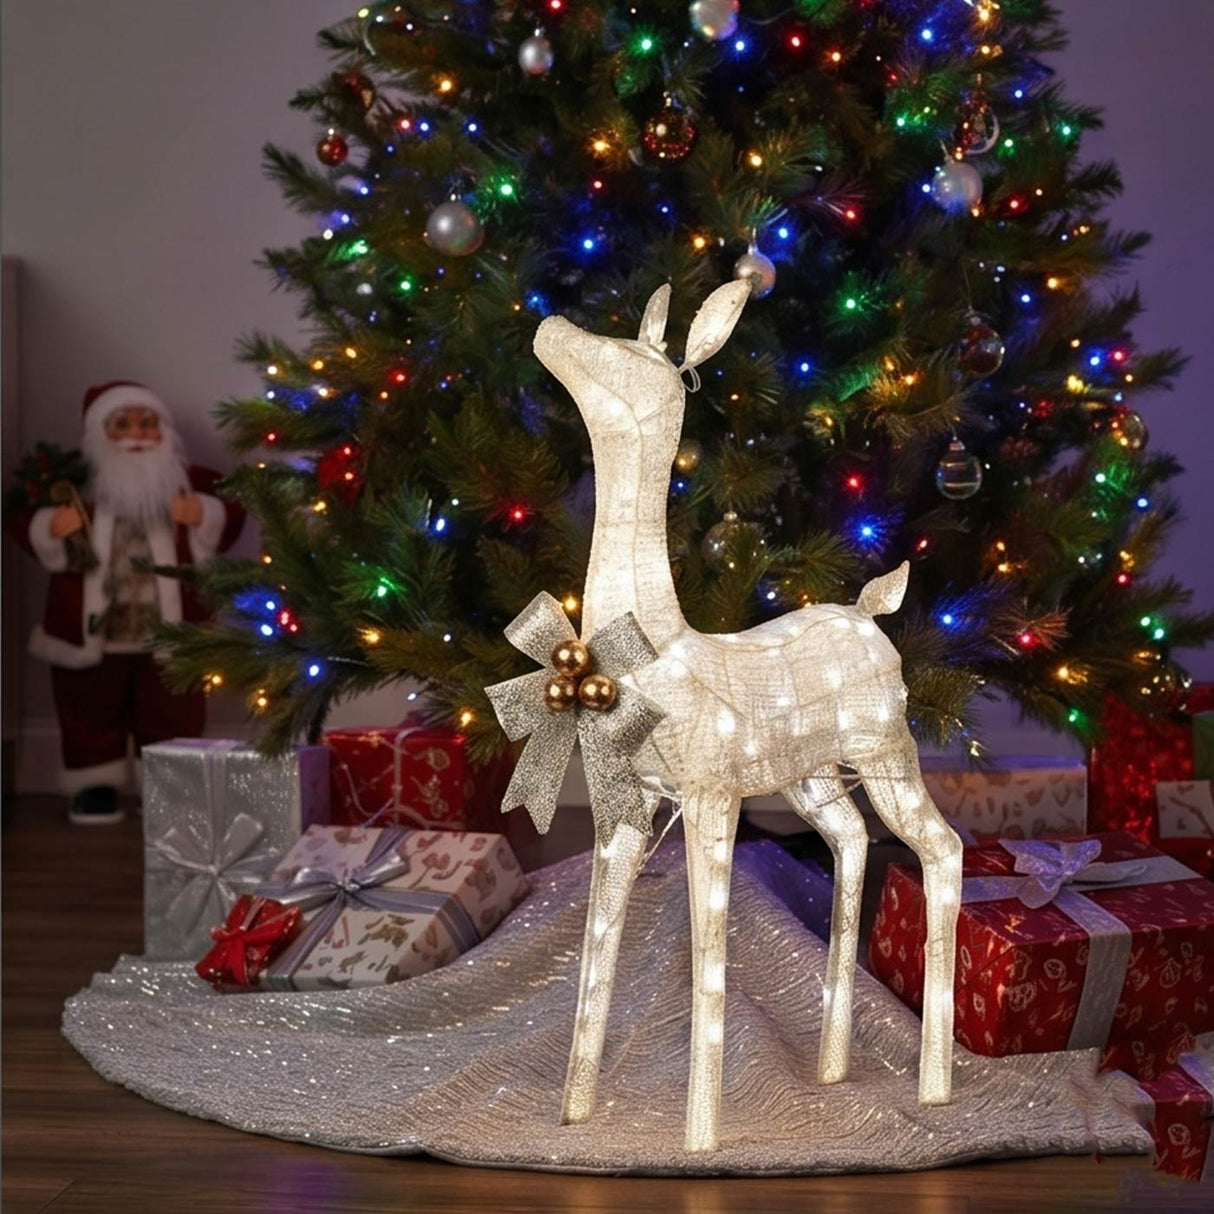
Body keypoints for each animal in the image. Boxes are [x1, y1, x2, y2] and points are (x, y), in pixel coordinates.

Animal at [531, 281, 963, 1154]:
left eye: (628, 353)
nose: (550, 326)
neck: (654, 649)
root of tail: (870, 611)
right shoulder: (626, 805)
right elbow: (595, 954)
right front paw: (573, 1115)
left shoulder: (711, 795)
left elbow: (709, 960)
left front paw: (699, 1140)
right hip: (813, 778)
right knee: (851, 841)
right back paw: (830, 1071)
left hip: (889, 752)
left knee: (943, 849)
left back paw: (934, 1087)